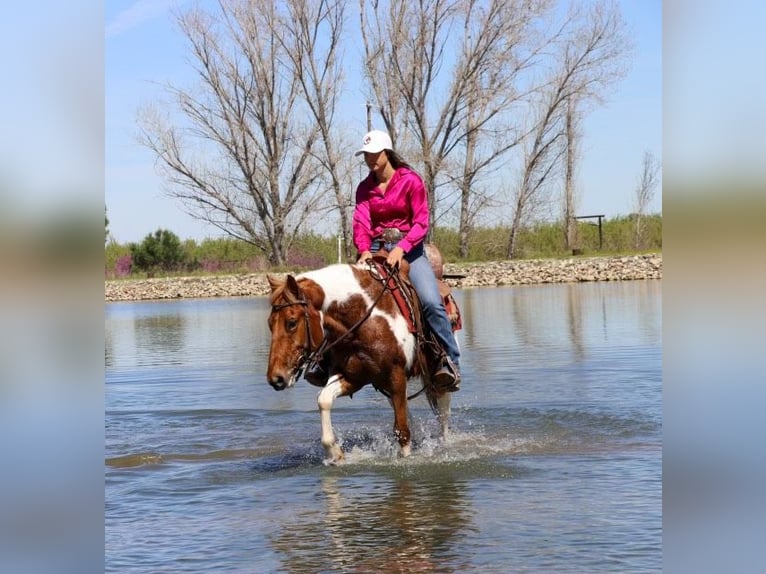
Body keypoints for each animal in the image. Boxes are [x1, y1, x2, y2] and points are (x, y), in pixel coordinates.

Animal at [268, 256, 460, 468]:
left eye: (292, 322)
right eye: (270, 324)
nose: (276, 378)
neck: (365, 319)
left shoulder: (396, 375)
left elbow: (401, 430)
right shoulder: (354, 377)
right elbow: (324, 399)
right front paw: (334, 453)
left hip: (435, 377)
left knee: (442, 414)